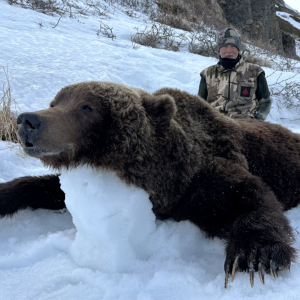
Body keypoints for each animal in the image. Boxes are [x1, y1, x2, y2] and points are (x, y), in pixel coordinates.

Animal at [0, 81, 300, 288]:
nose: (28, 120)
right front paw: (6, 193)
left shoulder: (204, 176)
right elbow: (45, 188)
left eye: (87, 107)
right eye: (54, 103)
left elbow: (252, 195)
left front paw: (254, 256)